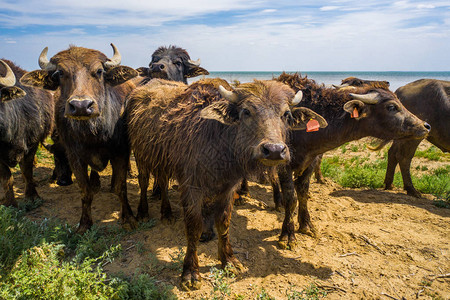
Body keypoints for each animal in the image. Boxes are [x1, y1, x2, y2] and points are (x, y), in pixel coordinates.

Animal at [19, 43, 139, 233]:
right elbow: (85, 191)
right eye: (60, 73)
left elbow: (121, 187)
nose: (81, 106)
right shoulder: (75, 157)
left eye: (99, 71)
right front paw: (84, 224)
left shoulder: (121, 152)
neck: (94, 134)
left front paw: (129, 218)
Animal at [126, 77, 326, 290]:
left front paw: (228, 260)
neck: (219, 143)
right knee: (144, 180)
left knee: (162, 182)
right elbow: (194, 227)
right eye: (246, 111)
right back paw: (143, 212)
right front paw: (190, 272)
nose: (274, 150)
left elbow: (223, 222)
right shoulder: (191, 187)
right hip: (140, 155)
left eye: (286, 114)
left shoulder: (228, 188)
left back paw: (167, 212)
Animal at [268, 72, 430, 248]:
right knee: (272, 178)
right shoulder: (284, 164)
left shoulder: (311, 162)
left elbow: (303, 192)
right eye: (392, 107)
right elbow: (291, 198)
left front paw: (306, 225)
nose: (425, 126)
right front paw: (287, 234)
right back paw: (277, 202)